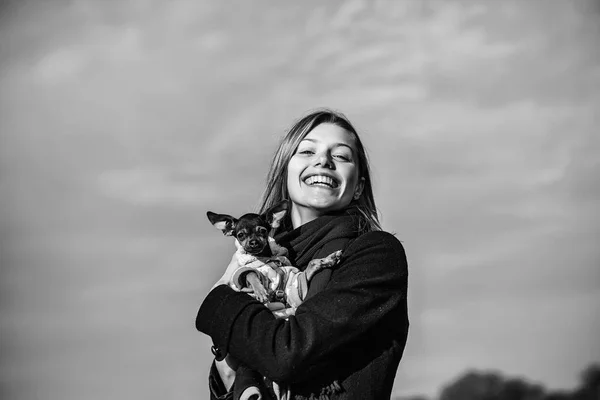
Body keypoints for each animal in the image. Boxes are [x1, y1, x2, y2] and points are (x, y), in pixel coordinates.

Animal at [206, 200, 340, 316]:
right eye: (241, 235)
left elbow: (309, 267)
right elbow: (251, 274)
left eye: (263, 231)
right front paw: (260, 290)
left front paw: (325, 260)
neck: (264, 258)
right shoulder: (240, 275)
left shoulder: (291, 284)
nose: (253, 242)